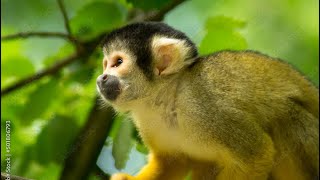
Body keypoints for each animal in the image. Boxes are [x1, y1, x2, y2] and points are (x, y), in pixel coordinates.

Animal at [96, 21, 318, 179]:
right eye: (106, 64)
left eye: (118, 62)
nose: (101, 78)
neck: (168, 98)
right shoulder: (148, 120)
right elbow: (172, 163)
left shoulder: (206, 107)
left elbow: (256, 155)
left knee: (288, 115)